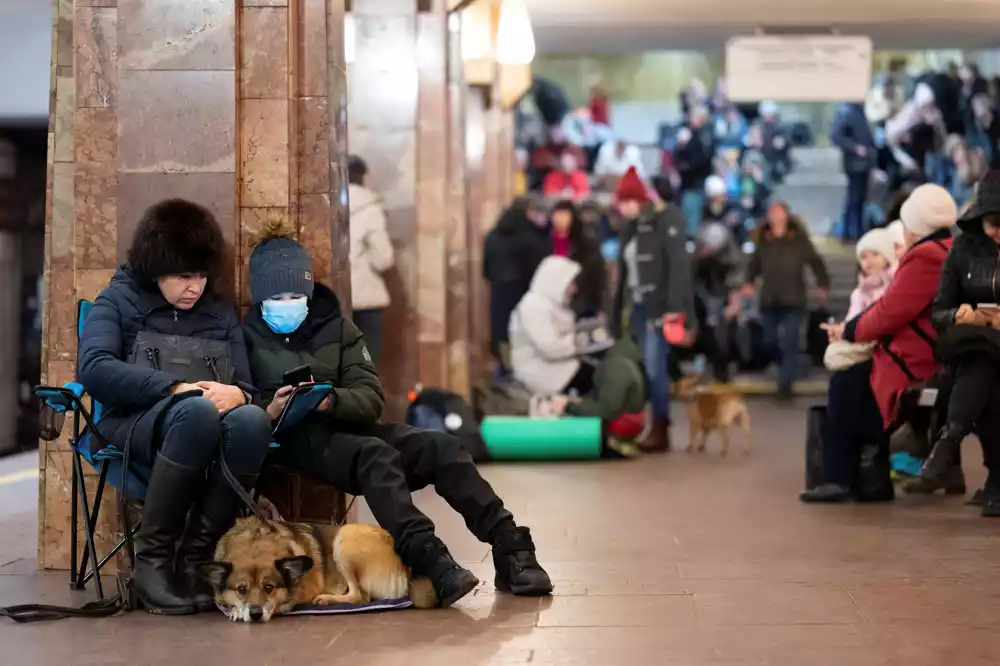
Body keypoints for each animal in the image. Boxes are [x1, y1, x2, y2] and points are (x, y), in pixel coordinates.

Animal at [203, 512, 438, 624]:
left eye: (269, 587)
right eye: (241, 589)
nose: (255, 614)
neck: (255, 540)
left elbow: (282, 603)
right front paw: (235, 609)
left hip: (345, 537)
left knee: (360, 596)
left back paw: (327, 599)